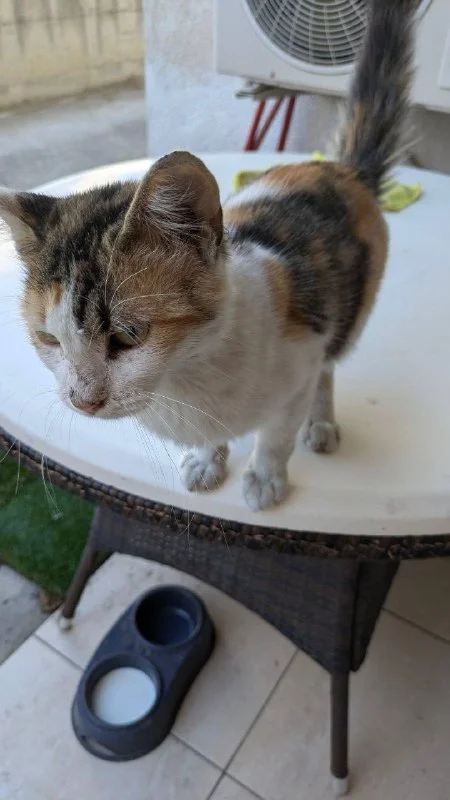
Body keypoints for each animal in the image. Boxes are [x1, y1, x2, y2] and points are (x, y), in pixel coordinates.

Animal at [0, 0, 416, 511]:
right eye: (48, 339)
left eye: (129, 334)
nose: (82, 401)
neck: (186, 375)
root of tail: (340, 170)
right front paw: (206, 459)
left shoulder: (301, 357)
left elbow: (278, 433)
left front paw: (264, 477)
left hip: (345, 313)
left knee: (328, 369)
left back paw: (321, 424)